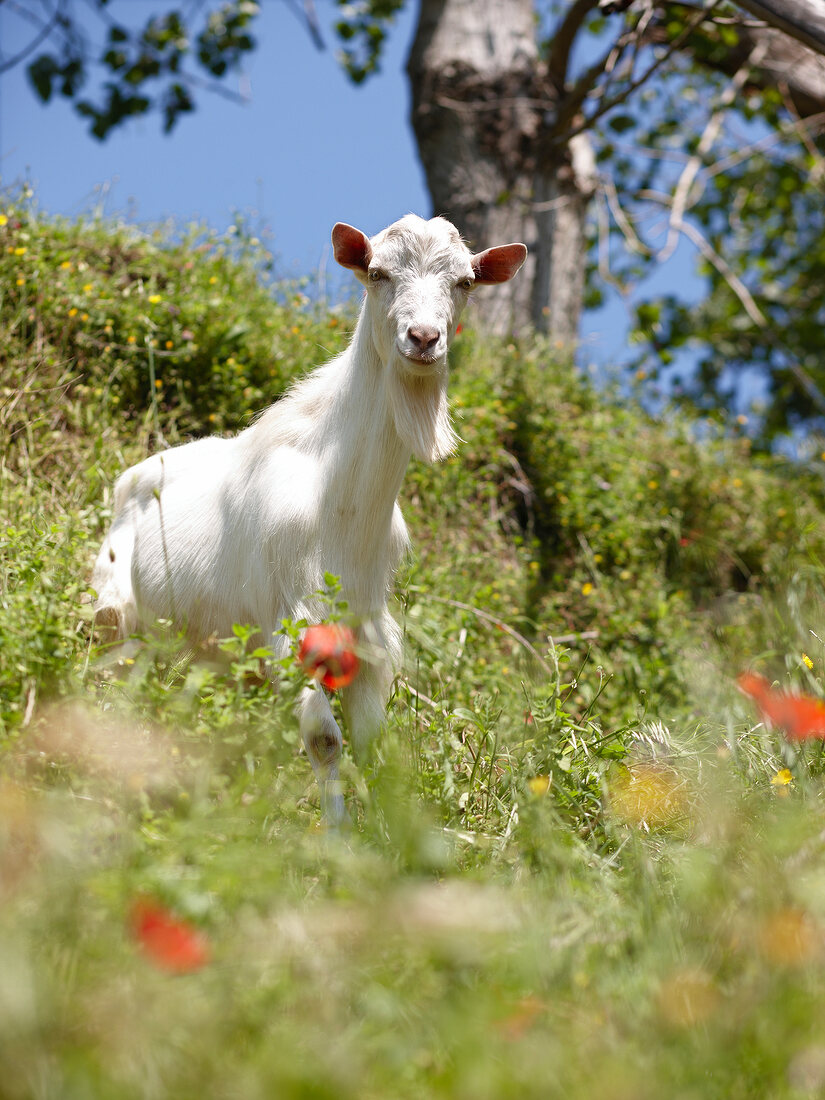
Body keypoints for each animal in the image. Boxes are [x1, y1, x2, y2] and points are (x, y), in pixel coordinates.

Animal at [91, 212, 530, 818]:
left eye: (465, 282)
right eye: (377, 272)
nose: (423, 339)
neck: (342, 503)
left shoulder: (367, 635)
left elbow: (370, 744)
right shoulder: (290, 623)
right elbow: (324, 739)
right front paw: (335, 836)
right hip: (117, 615)